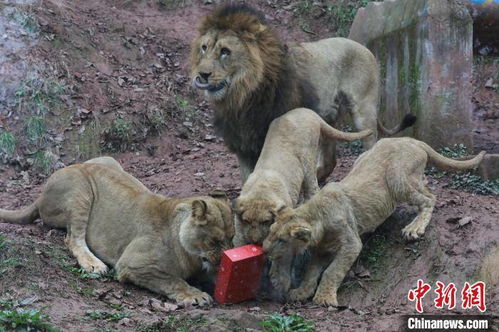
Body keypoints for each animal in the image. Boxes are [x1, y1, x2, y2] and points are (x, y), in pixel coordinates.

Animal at [0, 158, 234, 306]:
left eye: (232, 238)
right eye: (214, 241)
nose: (224, 259)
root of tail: (40, 196)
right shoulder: (133, 264)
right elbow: (172, 280)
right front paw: (194, 295)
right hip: (80, 190)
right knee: (73, 239)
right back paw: (94, 265)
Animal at [189, 3, 416, 183]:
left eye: (225, 51)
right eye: (204, 48)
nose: (203, 74)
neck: (243, 97)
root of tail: (364, 47)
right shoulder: (243, 141)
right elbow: (248, 178)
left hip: (364, 113)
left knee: (371, 145)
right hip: (328, 117)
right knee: (331, 159)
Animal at [233, 107, 372, 245]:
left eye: (266, 221)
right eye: (247, 221)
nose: (255, 242)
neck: (261, 188)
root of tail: (308, 111)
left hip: (308, 160)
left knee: (312, 187)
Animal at [264, 137, 486, 306]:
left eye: (282, 240)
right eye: (271, 231)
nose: (264, 250)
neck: (315, 213)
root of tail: (411, 139)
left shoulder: (351, 243)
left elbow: (332, 271)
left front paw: (324, 299)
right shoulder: (321, 249)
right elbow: (312, 271)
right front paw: (302, 292)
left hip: (397, 179)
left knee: (430, 199)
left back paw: (413, 228)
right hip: (368, 161)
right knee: (426, 188)